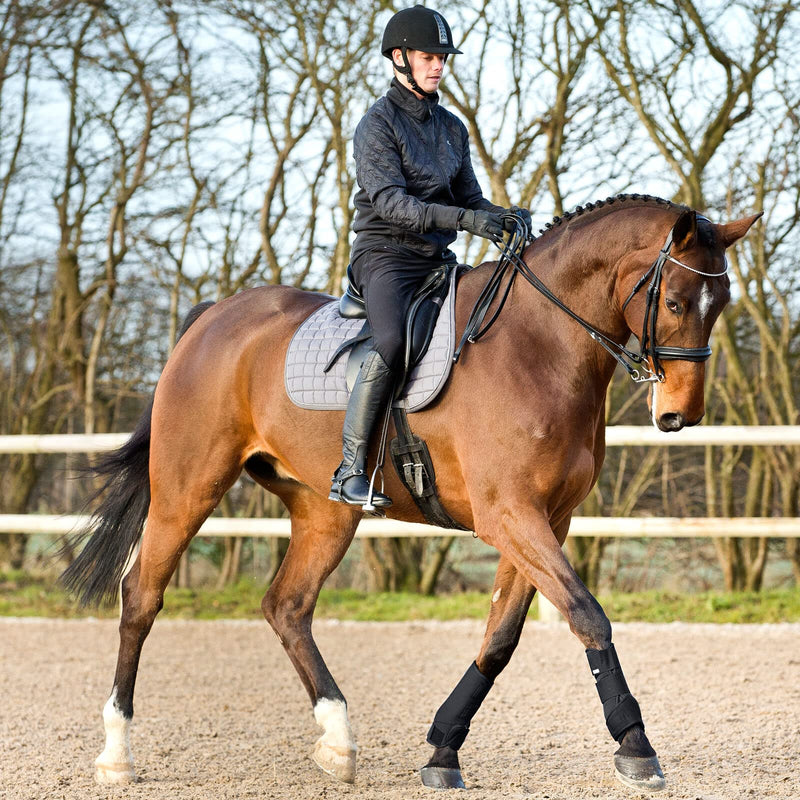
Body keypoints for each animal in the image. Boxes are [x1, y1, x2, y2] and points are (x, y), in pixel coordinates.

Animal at [62, 194, 760, 792]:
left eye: (720, 301)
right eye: (676, 302)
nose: (679, 415)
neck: (540, 345)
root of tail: (212, 317)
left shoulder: (546, 521)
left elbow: (500, 639)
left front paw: (444, 749)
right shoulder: (510, 515)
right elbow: (587, 615)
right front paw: (636, 746)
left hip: (323, 511)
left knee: (287, 606)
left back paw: (338, 742)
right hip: (187, 489)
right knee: (141, 596)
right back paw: (116, 755)